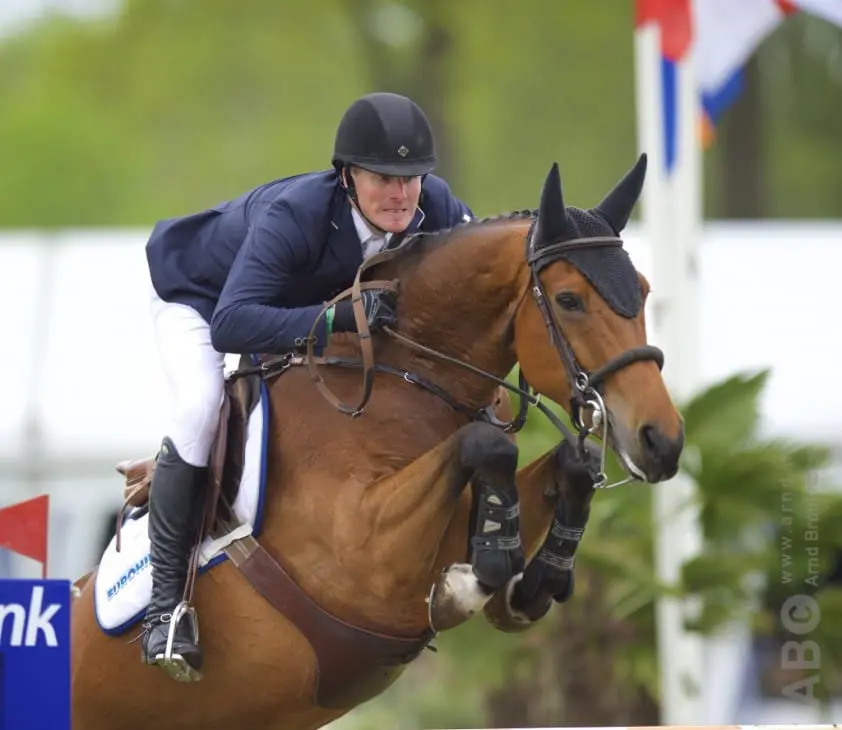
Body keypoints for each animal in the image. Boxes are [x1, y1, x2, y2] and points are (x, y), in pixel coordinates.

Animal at [69, 155, 684, 730]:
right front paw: (468, 583)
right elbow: (488, 445)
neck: (405, 376)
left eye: (645, 290)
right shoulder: (363, 550)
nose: (663, 441)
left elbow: (572, 461)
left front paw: (531, 584)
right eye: (568, 299)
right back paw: (166, 635)